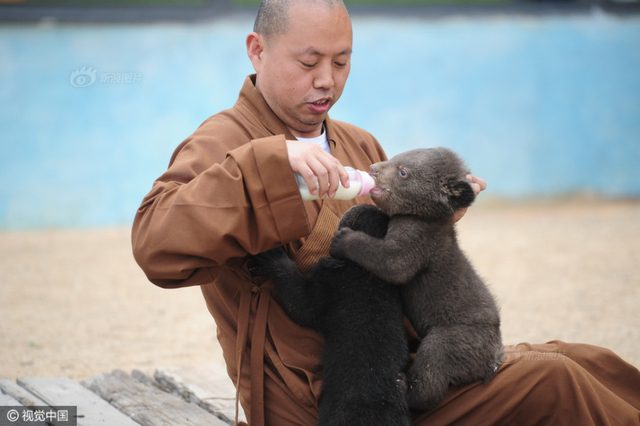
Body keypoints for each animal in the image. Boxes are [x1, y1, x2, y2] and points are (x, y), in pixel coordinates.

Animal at [330, 147, 504, 411]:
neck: (425, 217)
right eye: (393, 158)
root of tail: (495, 358)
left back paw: (404, 388)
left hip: (458, 337)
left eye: (403, 172)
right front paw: (352, 211)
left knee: (434, 365)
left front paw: (342, 239)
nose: (372, 168)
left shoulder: (419, 240)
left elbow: (393, 262)